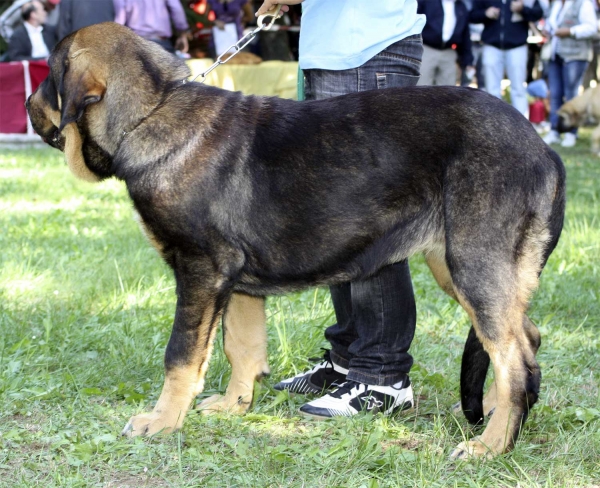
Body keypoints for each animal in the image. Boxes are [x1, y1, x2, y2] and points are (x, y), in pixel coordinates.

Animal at [24, 21, 568, 458]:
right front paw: (234, 406)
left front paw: (161, 421)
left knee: (516, 361)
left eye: (49, 74)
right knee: (525, 337)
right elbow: (240, 348)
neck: (152, 112)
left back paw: (491, 445)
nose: (26, 102)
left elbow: (181, 354)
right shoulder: (235, 281)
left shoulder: (200, 269)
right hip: (459, 267)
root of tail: (544, 149)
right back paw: (498, 414)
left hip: (475, 264)